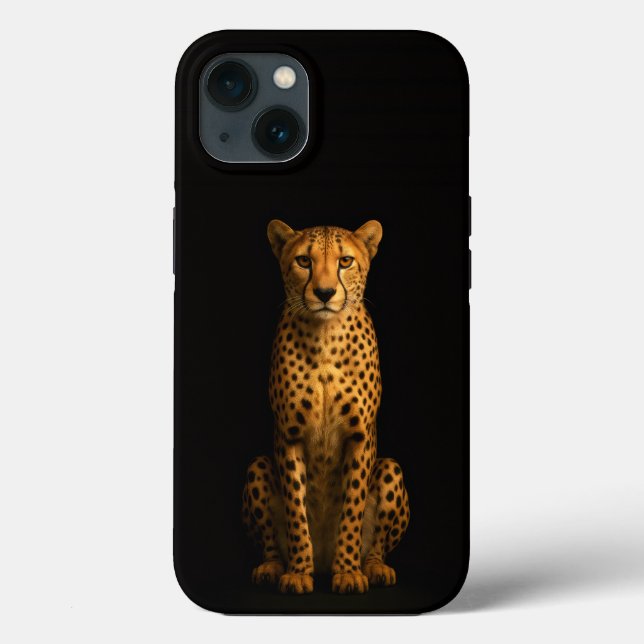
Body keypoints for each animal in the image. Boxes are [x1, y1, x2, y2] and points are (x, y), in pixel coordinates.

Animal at [241, 219, 410, 594]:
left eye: (345, 261)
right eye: (304, 261)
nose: (324, 293)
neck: (325, 336)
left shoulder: (360, 436)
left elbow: (352, 507)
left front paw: (347, 571)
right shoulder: (289, 435)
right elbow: (296, 509)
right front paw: (298, 572)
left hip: (391, 467)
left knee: (377, 545)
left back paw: (374, 568)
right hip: (258, 465)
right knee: (271, 543)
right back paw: (273, 567)